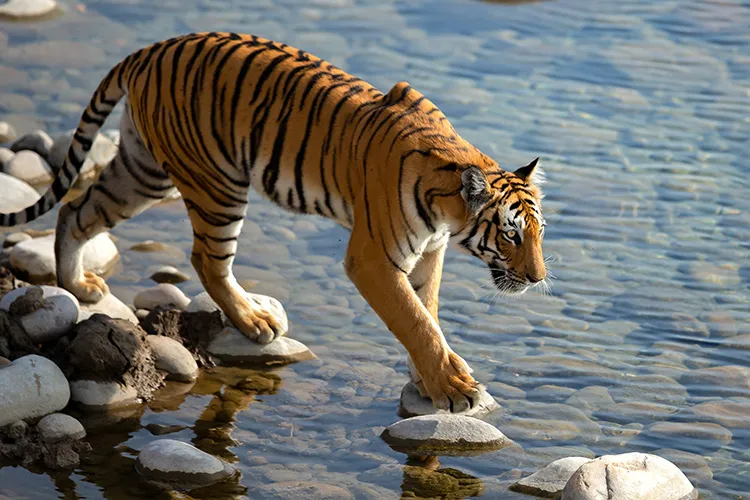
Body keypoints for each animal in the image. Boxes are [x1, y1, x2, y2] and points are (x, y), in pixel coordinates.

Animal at [0, 32, 547, 412]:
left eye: (539, 234)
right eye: (511, 234)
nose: (538, 278)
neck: (448, 213)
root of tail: (150, 49)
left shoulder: (428, 254)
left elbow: (427, 313)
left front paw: (430, 380)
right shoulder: (373, 258)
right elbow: (415, 321)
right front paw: (453, 387)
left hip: (143, 171)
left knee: (76, 209)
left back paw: (76, 285)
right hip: (216, 184)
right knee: (206, 259)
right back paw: (253, 322)